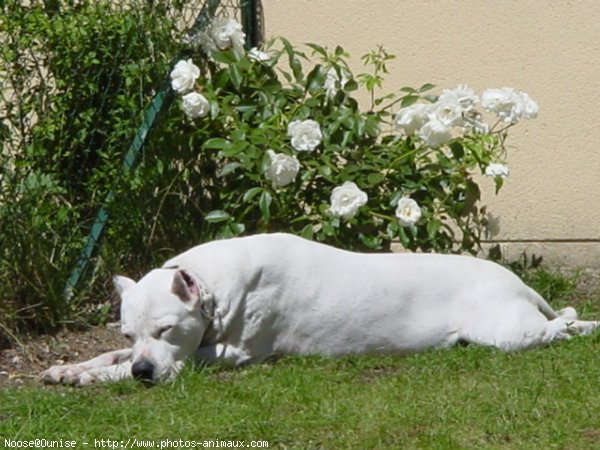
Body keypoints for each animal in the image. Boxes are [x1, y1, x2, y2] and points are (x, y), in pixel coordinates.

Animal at [43, 234, 600, 384]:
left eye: (166, 328)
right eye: (127, 334)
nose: (143, 370)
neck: (212, 288)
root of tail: (519, 283)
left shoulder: (228, 354)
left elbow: (170, 364)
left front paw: (99, 378)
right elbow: (105, 359)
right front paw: (73, 367)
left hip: (504, 332)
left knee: (560, 327)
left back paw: (572, 326)